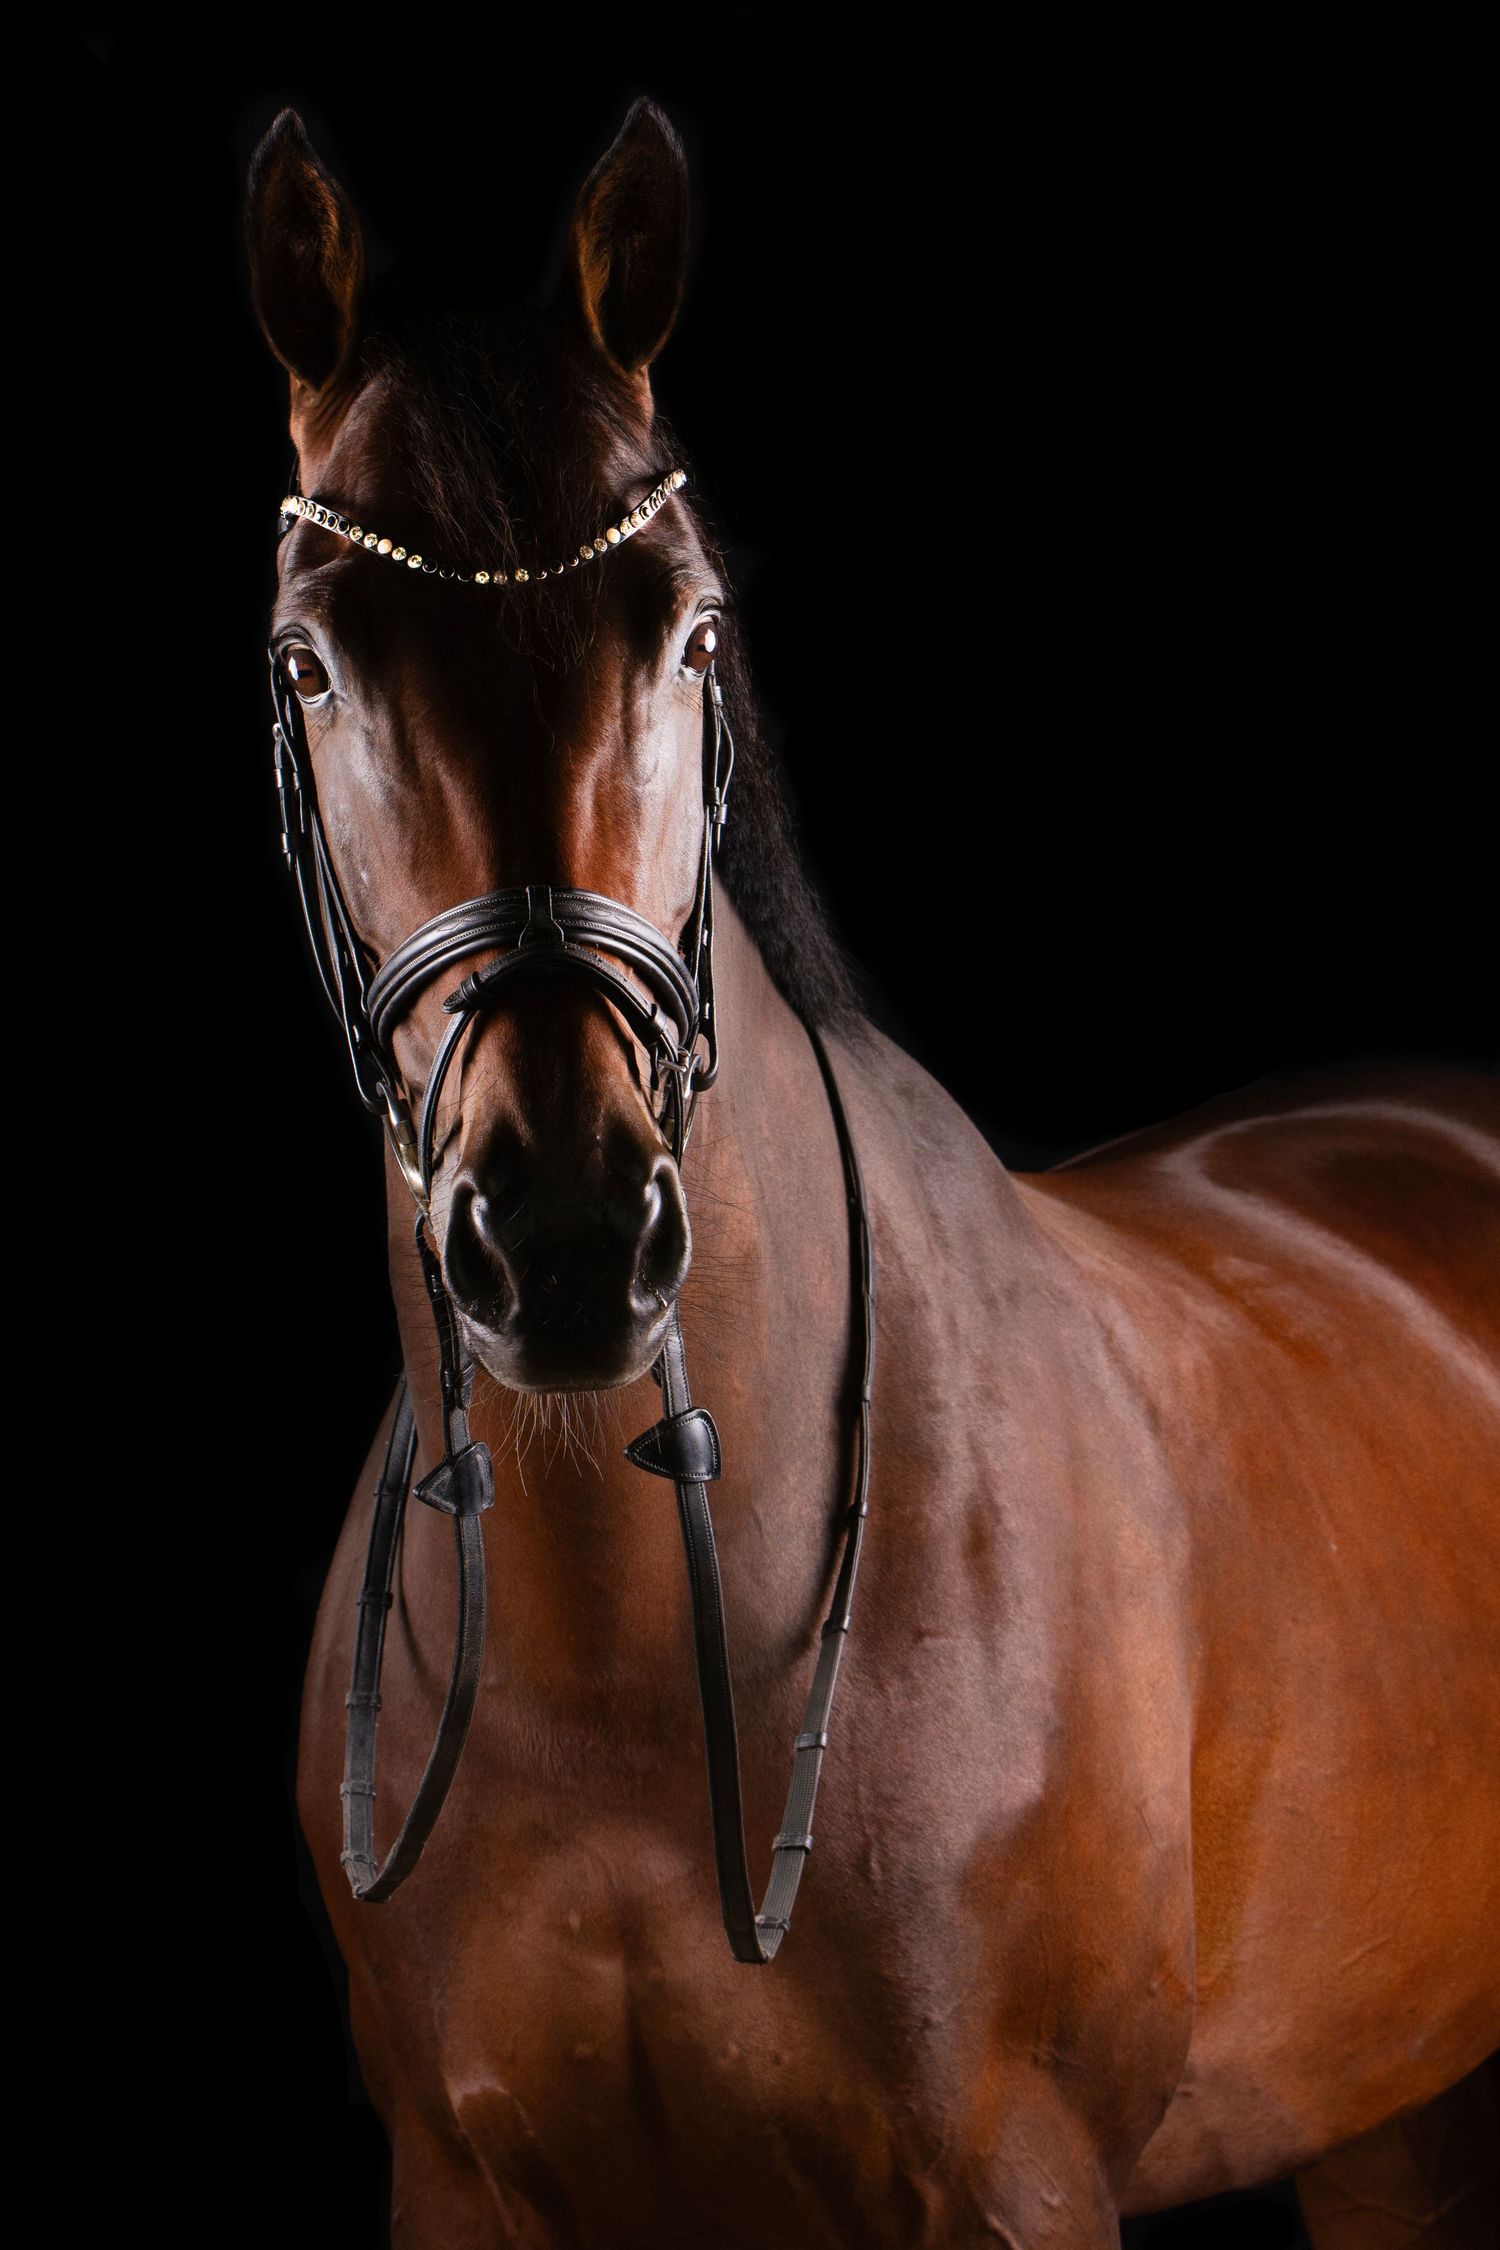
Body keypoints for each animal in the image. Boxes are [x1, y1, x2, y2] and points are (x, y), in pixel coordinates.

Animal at [248, 99, 1500, 2249]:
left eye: (691, 630)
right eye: (314, 665)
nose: (565, 1240)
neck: (623, 1676)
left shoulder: (1013, 2179)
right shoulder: (463, 2185)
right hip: (1391, 2121)